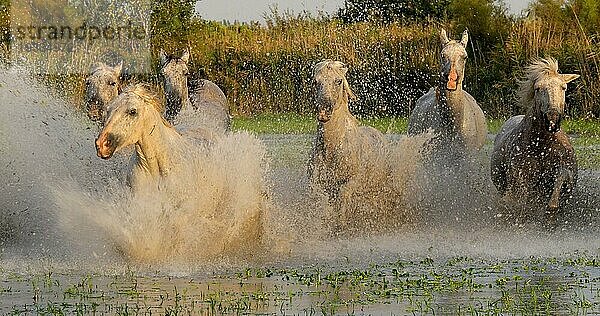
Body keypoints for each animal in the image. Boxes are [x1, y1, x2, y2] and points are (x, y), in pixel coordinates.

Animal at [490, 58, 580, 223]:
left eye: (563, 87)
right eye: (538, 88)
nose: (552, 120)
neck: (541, 146)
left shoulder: (564, 170)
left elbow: (556, 192)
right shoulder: (520, 178)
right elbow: (519, 203)